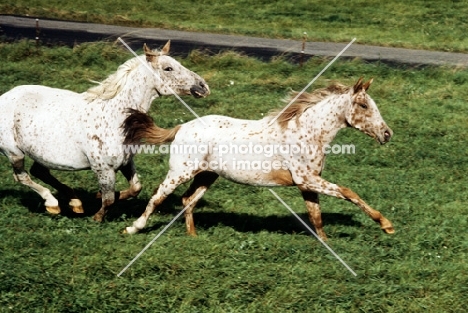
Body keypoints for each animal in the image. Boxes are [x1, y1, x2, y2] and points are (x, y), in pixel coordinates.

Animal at [0, 41, 209, 221]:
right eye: (168, 68)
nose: (203, 87)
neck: (113, 116)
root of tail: (4, 97)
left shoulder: (126, 162)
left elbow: (135, 188)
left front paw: (100, 195)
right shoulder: (103, 168)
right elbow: (108, 199)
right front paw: (97, 216)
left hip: (42, 154)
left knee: (39, 172)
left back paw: (75, 202)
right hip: (14, 153)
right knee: (22, 177)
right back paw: (53, 204)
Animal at [122, 78, 394, 239]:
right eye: (364, 106)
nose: (387, 134)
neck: (308, 132)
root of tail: (181, 127)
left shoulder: (308, 184)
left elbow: (316, 216)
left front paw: (326, 243)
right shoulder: (307, 179)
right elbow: (348, 192)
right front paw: (386, 225)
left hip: (207, 175)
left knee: (188, 199)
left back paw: (193, 236)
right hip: (180, 172)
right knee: (158, 197)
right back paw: (133, 228)